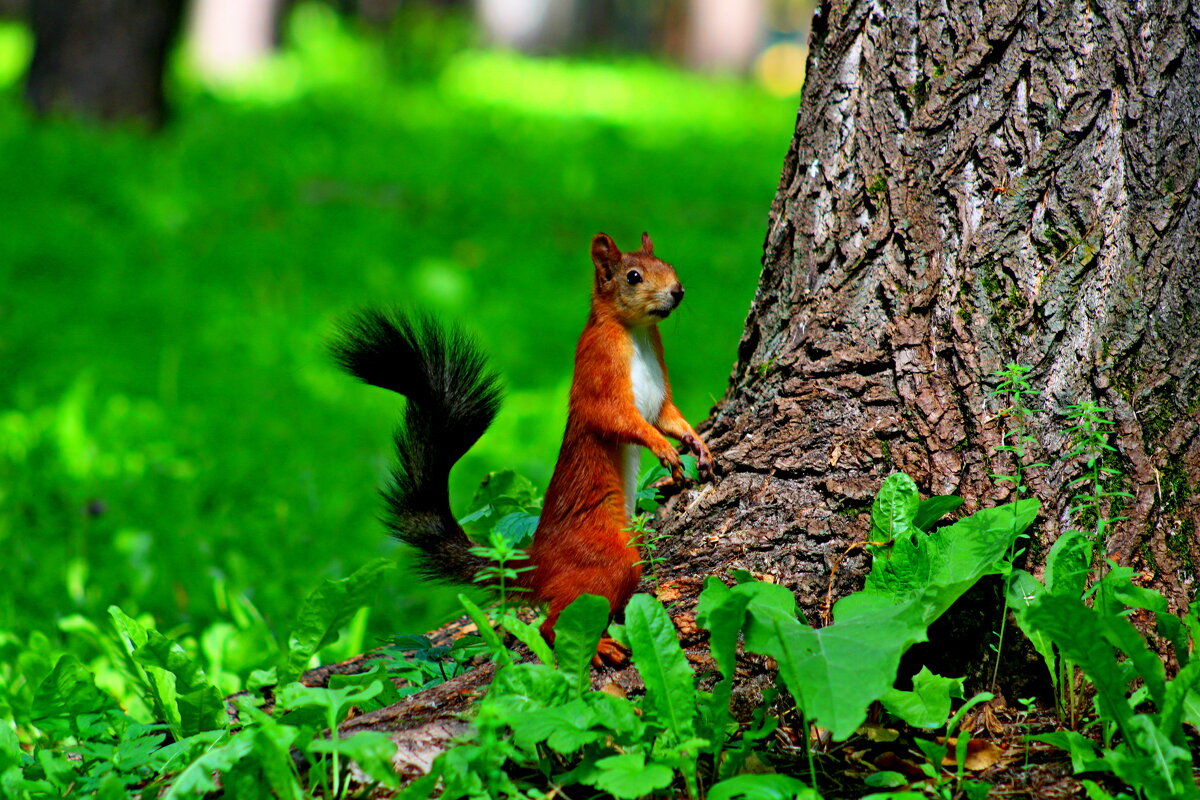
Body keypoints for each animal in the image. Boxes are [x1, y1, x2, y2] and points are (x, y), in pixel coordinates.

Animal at [333, 231, 710, 657]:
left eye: (670, 266)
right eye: (633, 276)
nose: (677, 291)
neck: (637, 333)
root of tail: (539, 563)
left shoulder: (659, 393)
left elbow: (668, 418)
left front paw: (697, 444)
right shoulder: (599, 372)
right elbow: (618, 419)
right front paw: (662, 449)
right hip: (609, 559)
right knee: (550, 624)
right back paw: (595, 646)